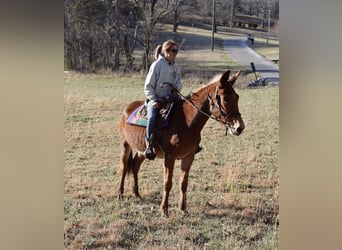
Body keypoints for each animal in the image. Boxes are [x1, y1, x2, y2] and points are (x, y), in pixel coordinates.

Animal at [119, 69, 244, 216]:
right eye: (226, 98)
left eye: (237, 97)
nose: (239, 127)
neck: (187, 122)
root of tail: (128, 109)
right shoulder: (169, 157)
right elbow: (168, 183)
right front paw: (164, 210)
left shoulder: (188, 156)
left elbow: (183, 183)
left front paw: (183, 208)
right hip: (125, 146)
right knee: (123, 167)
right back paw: (120, 194)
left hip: (143, 151)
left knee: (135, 166)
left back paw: (137, 194)